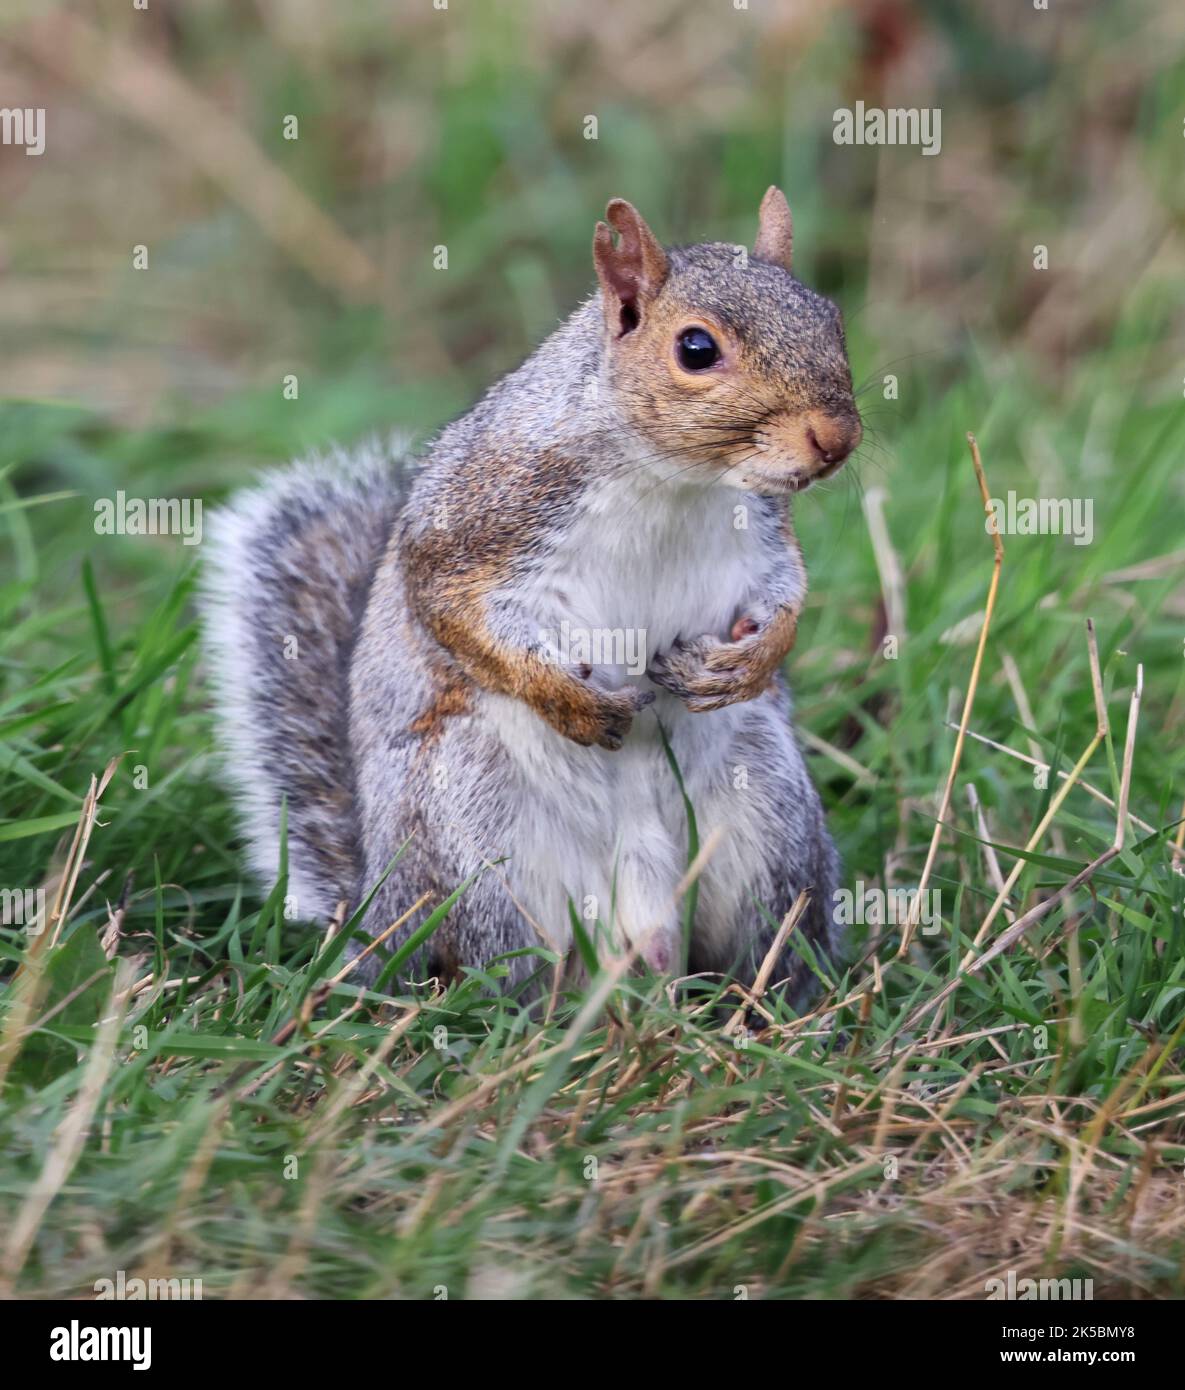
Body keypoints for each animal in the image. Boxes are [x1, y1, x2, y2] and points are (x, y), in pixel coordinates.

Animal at [201, 190, 861, 1006]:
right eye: (696, 349)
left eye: (831, 317)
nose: (835, 439)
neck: (674, 481)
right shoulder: (478, 523)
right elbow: (452, 612)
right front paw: (571, 704)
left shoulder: (761, 538)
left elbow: (787, 597)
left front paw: (748, 664)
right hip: (476, 835)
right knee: (501, 974)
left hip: (769, 814)